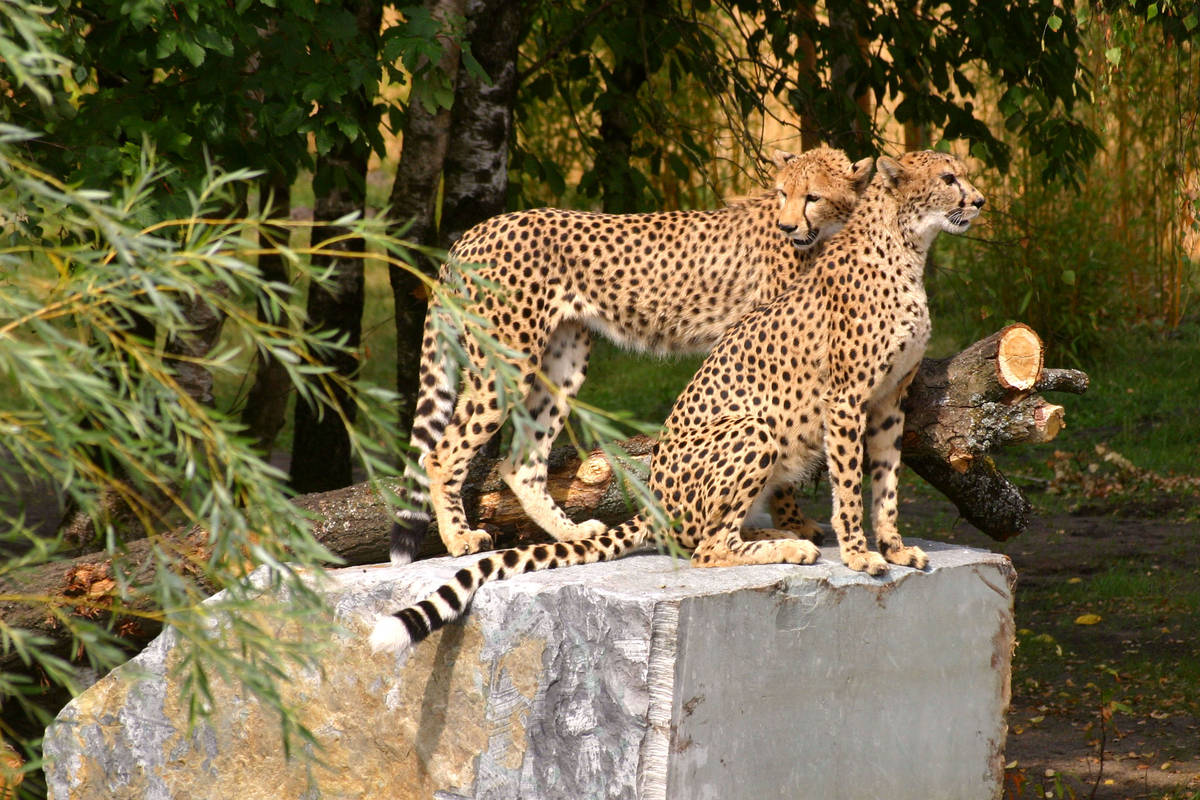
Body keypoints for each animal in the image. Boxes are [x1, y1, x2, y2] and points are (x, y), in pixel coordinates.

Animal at [393, 146, 873, 566]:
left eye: (812, 196)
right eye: (781, 192)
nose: (788, 227)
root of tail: (474, 232)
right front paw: (793, 522)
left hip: (564, 361)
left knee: (521, 462)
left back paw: (570, 534)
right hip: (509, 362)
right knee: (441, 453)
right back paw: (459, 538)